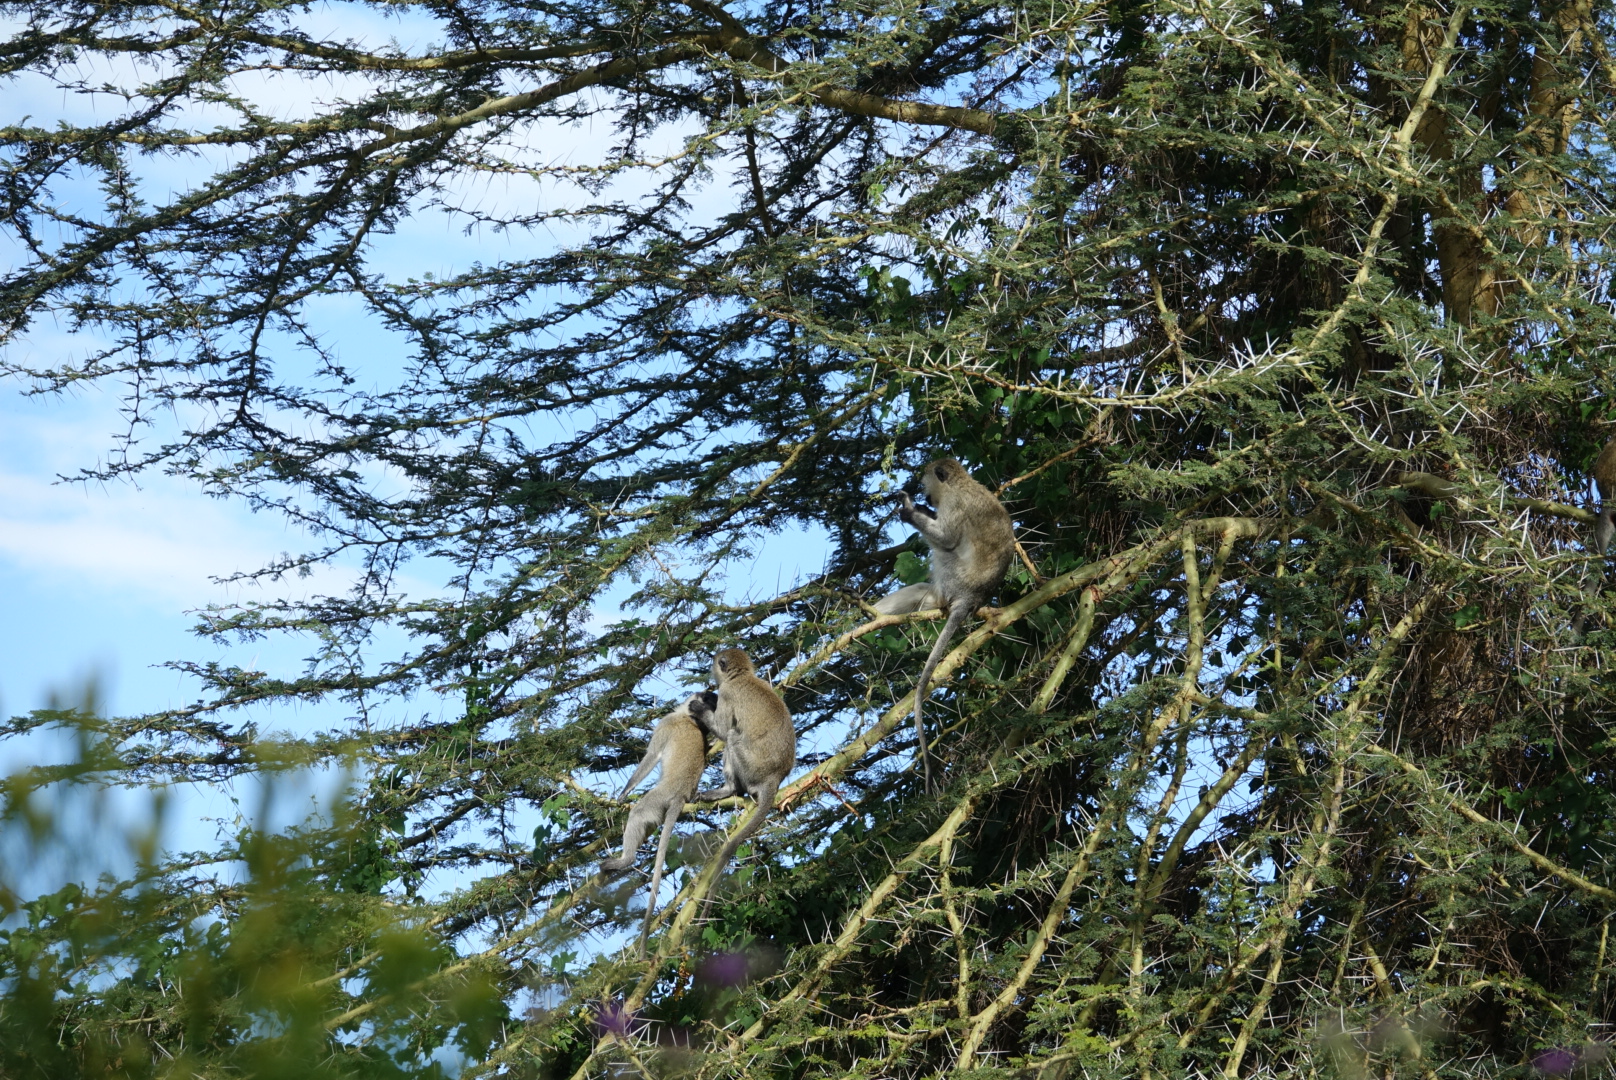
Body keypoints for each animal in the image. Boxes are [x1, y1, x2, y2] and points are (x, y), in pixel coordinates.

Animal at [604, 688, 717, 950]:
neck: (688, 718)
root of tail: (682, 794)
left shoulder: (666, 724)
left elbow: (651, 756)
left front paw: (624, 792)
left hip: (659, 797)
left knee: (638, 812)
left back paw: (626, 859)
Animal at [694, 649, 795, 885]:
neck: (741, 676)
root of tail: (774, 777)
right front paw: (709, 699)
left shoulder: (727, 692)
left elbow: (722, 731)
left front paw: (700, 706)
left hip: (751, 769)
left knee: (731, 735)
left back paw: (730, 790)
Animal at [872, 455, 1008, 792]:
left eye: (926, 483)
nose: (926, 497)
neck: (962, 483)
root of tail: (972, 597)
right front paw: (920, 508)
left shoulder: (954, 505)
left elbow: (947, 537)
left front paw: (910, 509)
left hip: (952, 578)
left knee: (943, 550)